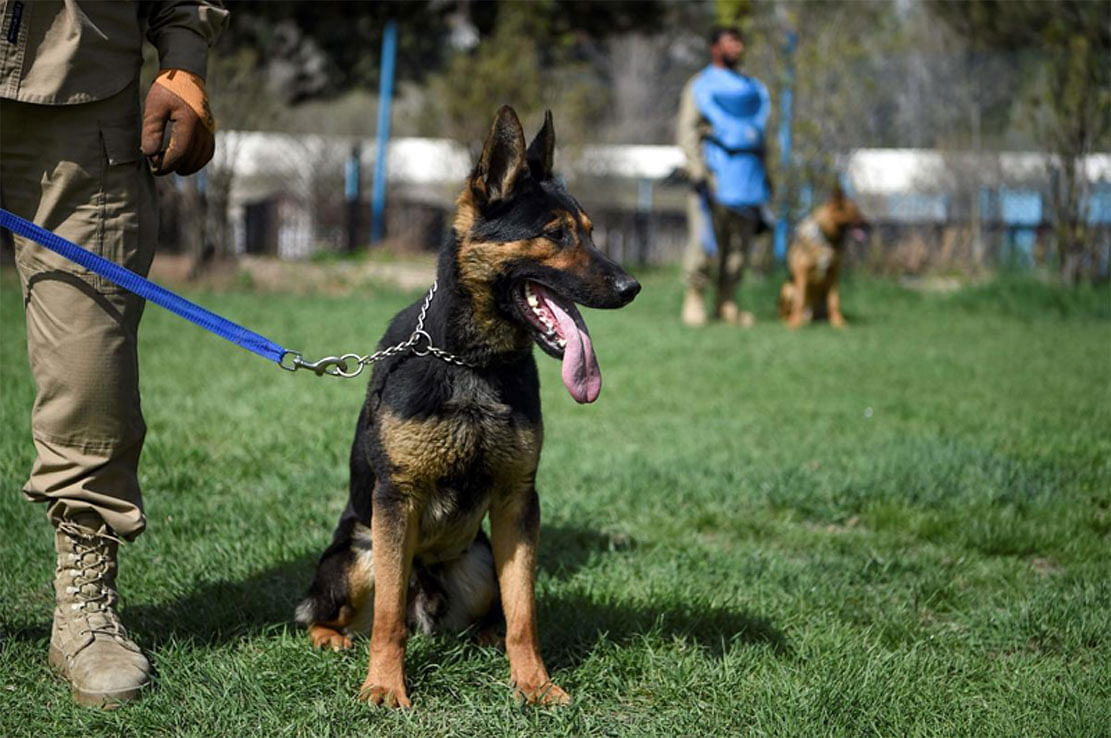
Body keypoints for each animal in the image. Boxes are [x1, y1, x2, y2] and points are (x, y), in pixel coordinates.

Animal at [297, 106, 644, 706]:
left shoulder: (517, 501)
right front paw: (384, 686)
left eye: (591, 233)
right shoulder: (396, 500)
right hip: (360, 555)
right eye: (555, 234)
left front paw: (533, 684)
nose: (632, 287)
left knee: (496, 608)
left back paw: (487, 637)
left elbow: (524, 610)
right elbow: (387, 617)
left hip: (480, 559)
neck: (470, 362)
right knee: (334, 612)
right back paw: (333, 638)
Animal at [777, 187, 862, 328]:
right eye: (854, 212)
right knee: (786, 312)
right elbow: (800, 300)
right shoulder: (802, 272)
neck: (825, 239)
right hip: (787, 288)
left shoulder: (834, 274)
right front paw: (794, 324)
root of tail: (809, 316)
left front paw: (839, 323)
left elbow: (834, 301)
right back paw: (791, 320)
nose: (870, 224)